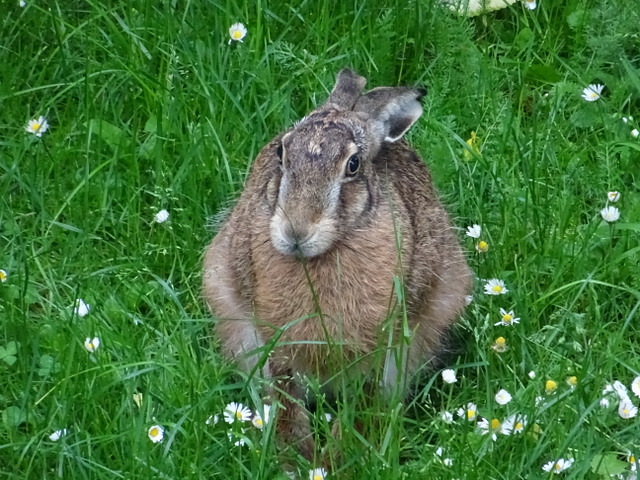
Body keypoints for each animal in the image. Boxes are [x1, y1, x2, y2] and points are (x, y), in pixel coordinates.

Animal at [202, 68, 472, 460]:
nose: (296, 230)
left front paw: (338, 456)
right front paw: (297, 457)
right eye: (281, 151)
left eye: (353, 165)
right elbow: (286, 398)